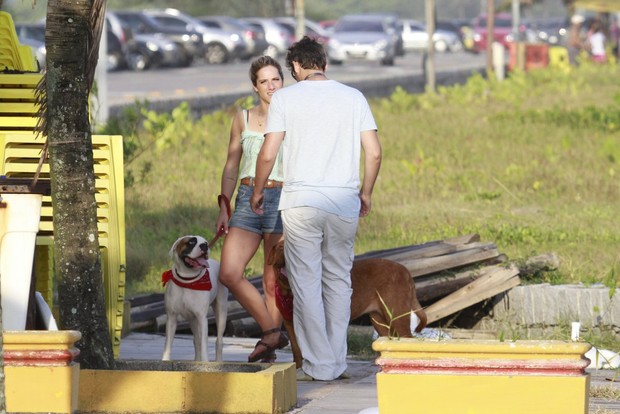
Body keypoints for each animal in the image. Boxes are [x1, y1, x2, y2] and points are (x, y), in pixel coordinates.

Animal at [268, 239, 428, 368]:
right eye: (280, 247)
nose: (286, 253)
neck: (289, 290)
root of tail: (406, 270)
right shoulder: (289, 322)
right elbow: (296, 349)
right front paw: (297, 368)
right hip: (380, 320)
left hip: (397, 315)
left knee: (408, 340)